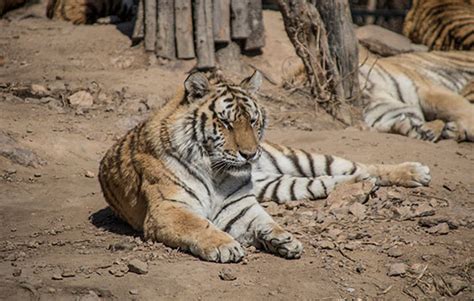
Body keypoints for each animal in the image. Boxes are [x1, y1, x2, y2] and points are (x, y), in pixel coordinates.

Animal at [98, 70, 432, 262]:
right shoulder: (168, 210)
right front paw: (226, 246)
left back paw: (415, 171)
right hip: (282, 183)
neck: (216, 172)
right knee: (330, 180)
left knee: (359, 165)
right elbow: (198, 225)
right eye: (226, 123)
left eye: (253, 120)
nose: (250, 154)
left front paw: (283, 238)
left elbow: (266, 221)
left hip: (300, 158)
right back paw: (360, 187)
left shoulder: (240, 206)